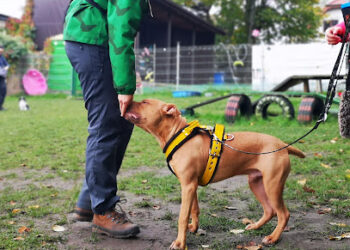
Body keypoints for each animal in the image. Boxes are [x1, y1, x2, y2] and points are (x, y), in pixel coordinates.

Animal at [124, 98, 304, 249]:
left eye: (145, 102)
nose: (127, 100)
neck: (178, 134)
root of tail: (282, 145)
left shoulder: (187, 185)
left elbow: (182, 216)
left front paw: (180, 243)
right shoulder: (191, 185)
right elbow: (194, 209)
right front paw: (193, 228)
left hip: (273, 185)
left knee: (283, 214)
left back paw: (273, 238)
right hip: (256, 182)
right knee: (269, 210)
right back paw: (255, 226)